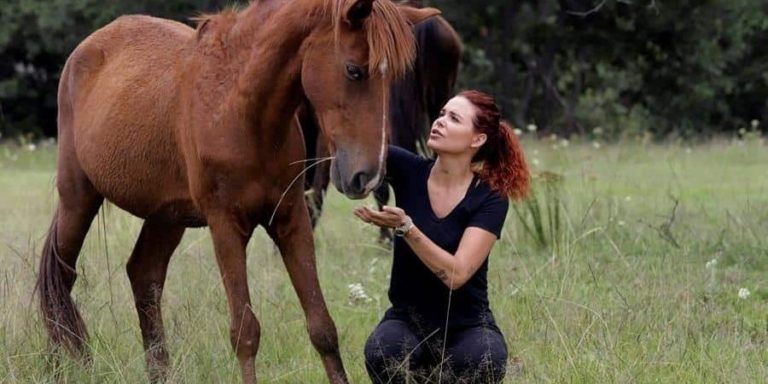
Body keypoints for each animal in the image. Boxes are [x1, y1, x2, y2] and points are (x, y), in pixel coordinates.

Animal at [34, 1, 438, 382]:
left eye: (393, 78)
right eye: (354, 70)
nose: (367, 175)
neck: (241, 111)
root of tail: (86, 49)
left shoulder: (291, 220)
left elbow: (322, 326)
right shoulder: (225, 225)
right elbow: (246, 333)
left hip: (166, 216)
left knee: (144, 276)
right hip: (78, 197)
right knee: (60, 279)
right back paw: (60, 369)